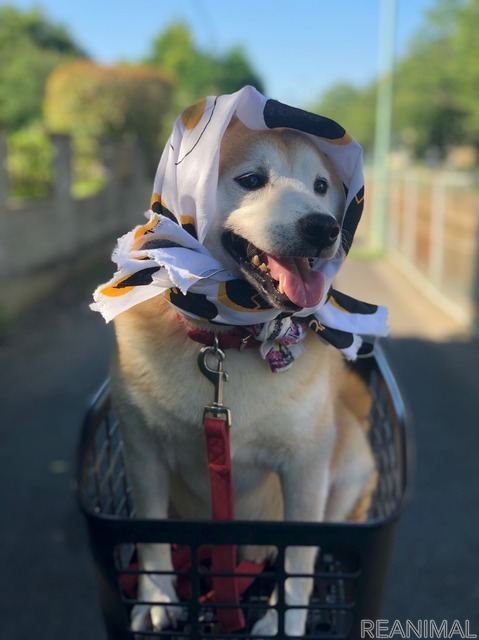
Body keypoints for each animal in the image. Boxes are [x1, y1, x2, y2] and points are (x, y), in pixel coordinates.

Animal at [109, 114, 378, 636]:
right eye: (252, 179)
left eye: (321, 187)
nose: (325, 226)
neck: (226, 338)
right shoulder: (143, 450)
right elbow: (151, 537)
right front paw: (157, 595)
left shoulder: (305, 467)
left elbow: (299, 563)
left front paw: (282, 621)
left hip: (344, 472)